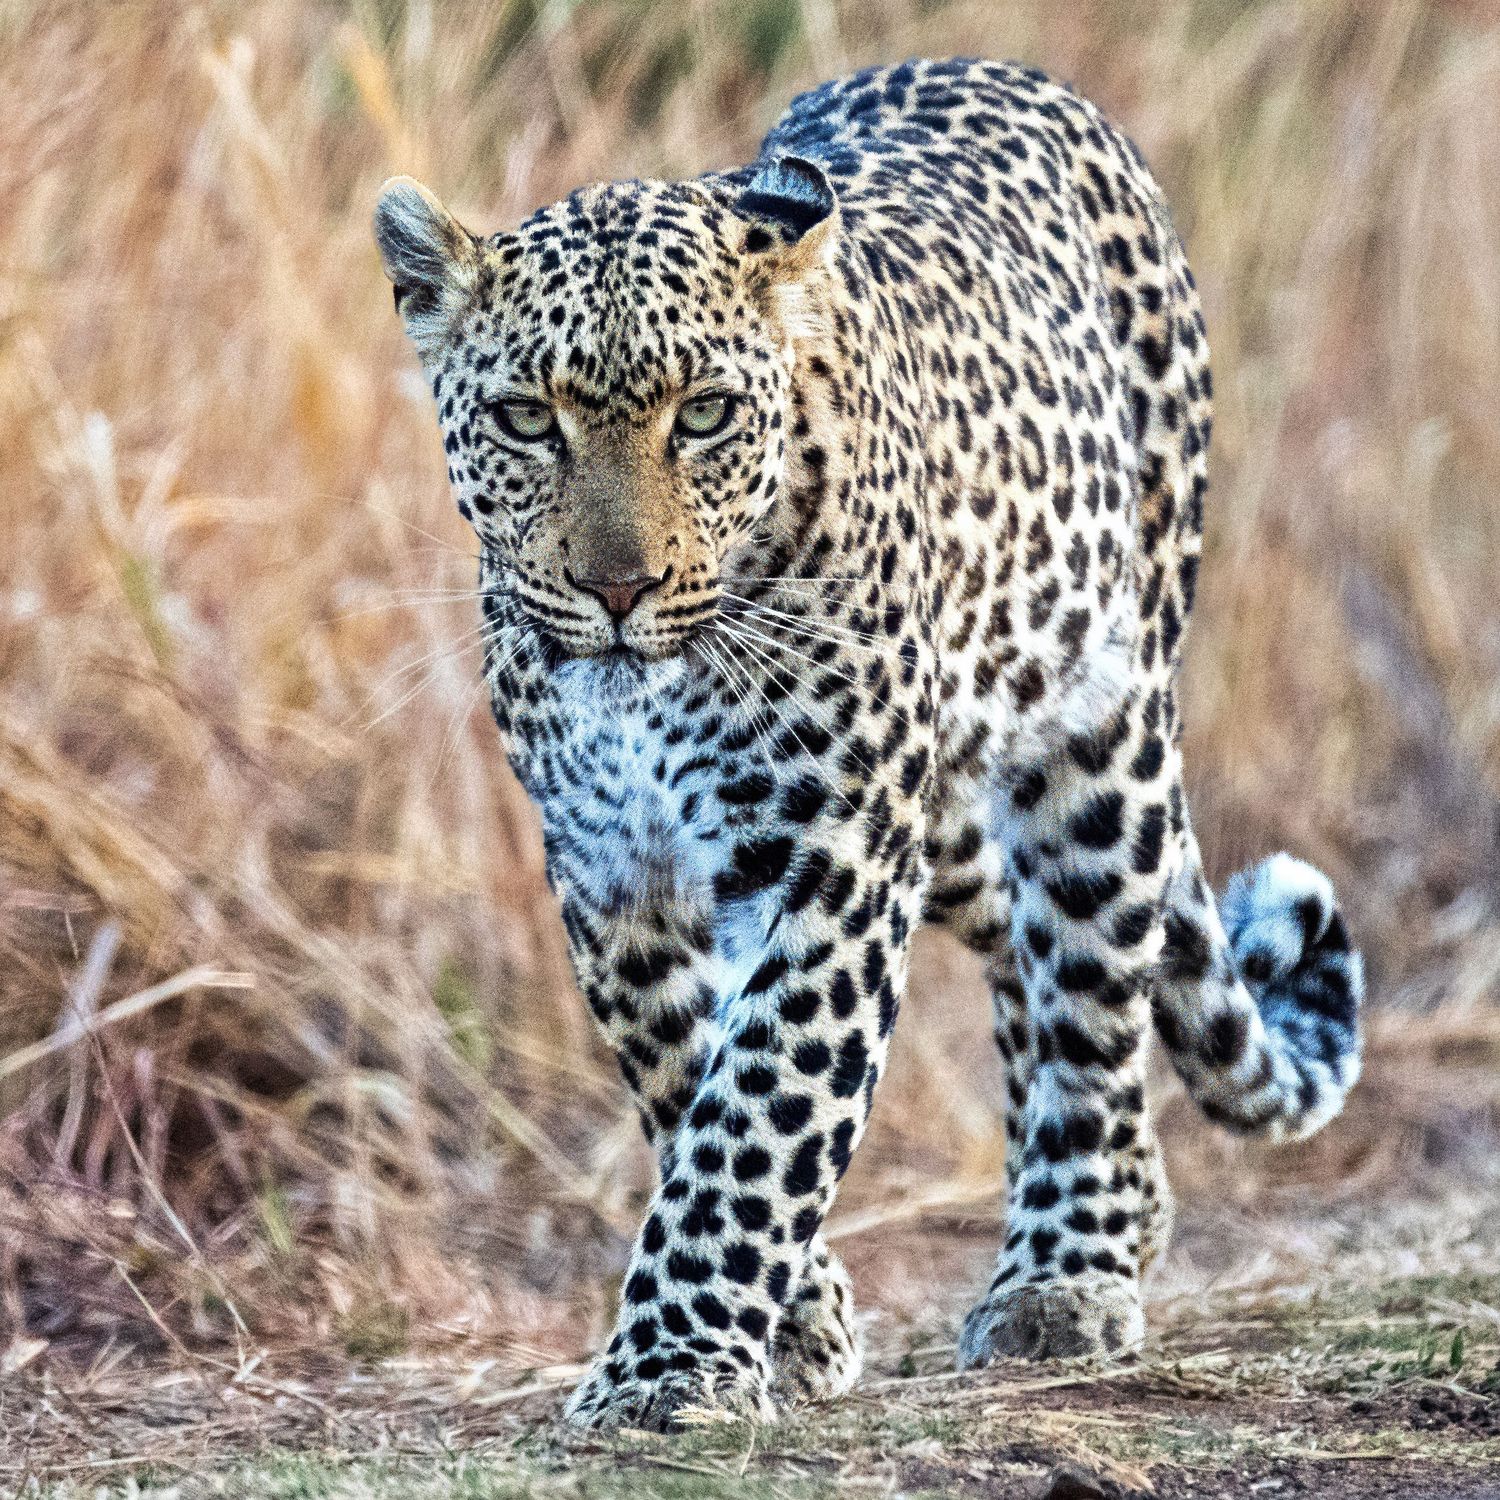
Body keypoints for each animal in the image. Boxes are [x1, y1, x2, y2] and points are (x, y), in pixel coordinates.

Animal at [373, 57, 1364, 1432]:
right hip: (947, 808)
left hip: (1101, 729)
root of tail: (995, 67)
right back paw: (1131, 1211)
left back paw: (1070, 1270)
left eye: (706, 414)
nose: (618, 590)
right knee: (1024, 946)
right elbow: (687, 1079)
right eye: (525, 419)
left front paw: (671, 1369)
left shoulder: (829, 854)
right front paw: (793, 1323)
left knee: (1093, 988)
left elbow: (759, 1109)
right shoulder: (612, 872)